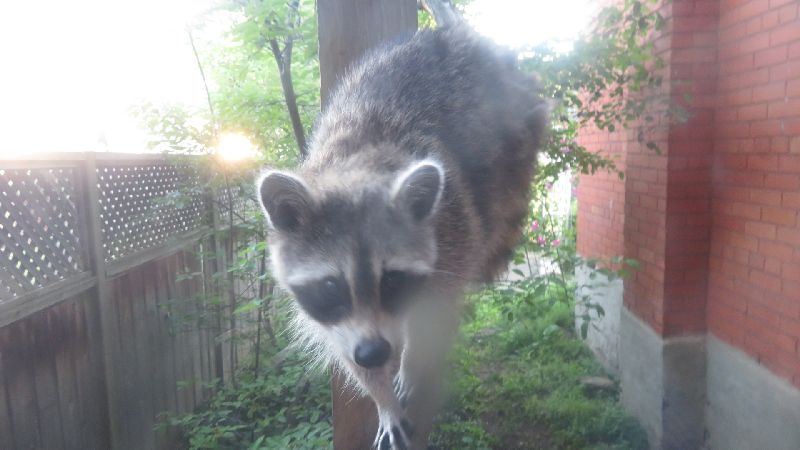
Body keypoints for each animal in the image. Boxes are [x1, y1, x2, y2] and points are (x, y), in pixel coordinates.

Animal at [257, 25, 548, 450]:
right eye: (331, 286)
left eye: (393, 279)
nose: (374, 352)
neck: (355, 166)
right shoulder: (330, 315)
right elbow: (343, 346)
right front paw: (382, 398)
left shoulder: (452, 231)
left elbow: (435, 312)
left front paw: (410, 364)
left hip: (514, 139)